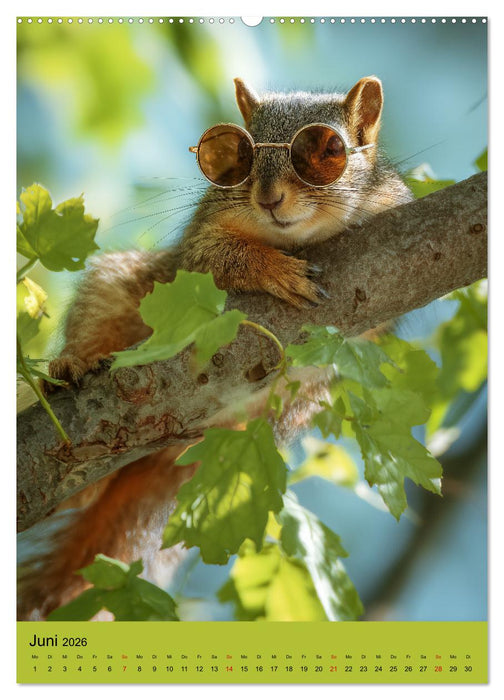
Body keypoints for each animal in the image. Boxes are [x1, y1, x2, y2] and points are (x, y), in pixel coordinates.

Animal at [17, 76, 412, 620]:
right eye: (234, 158)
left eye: (329, 152)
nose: (269, 198)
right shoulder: (200, 241)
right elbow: (215, 257)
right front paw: (274, 269)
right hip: (112, 292)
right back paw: (71, 369)